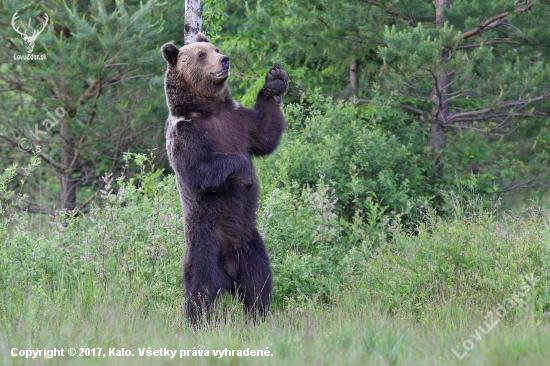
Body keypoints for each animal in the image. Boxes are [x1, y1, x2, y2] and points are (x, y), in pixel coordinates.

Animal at [161, 33, 288, 324]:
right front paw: (246, 174)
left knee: (259, 285)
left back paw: (258, 317)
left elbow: (264, 131)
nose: (225, 59)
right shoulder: (186, 134)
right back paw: (196, 322)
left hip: (252, 246)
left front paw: (275, 80)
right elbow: (200, 170)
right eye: (201, 55)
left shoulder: (237, 120)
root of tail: (229, 274)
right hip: (205, 247)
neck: (208, 111)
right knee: (200, 290)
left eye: (215, 48)